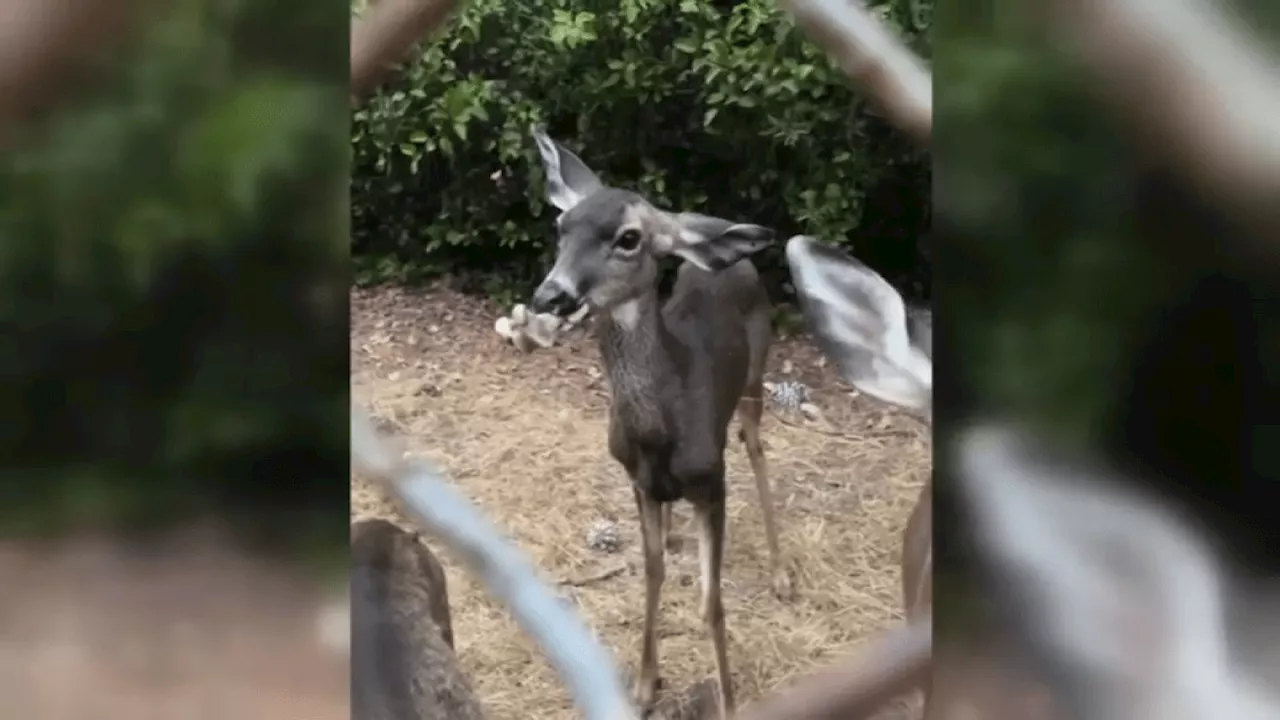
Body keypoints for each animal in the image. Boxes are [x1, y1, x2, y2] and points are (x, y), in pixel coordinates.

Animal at [522, 127, 788, 712]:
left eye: (628, 238)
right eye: (561, 228)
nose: (551, 295)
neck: (661, 427)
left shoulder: (713, 481)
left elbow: (713, 602)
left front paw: (729, 702)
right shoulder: (637, 480)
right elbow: (652, 571)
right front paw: (645, 686)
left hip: (756, 374)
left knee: (756, 445)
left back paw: (783, 573)